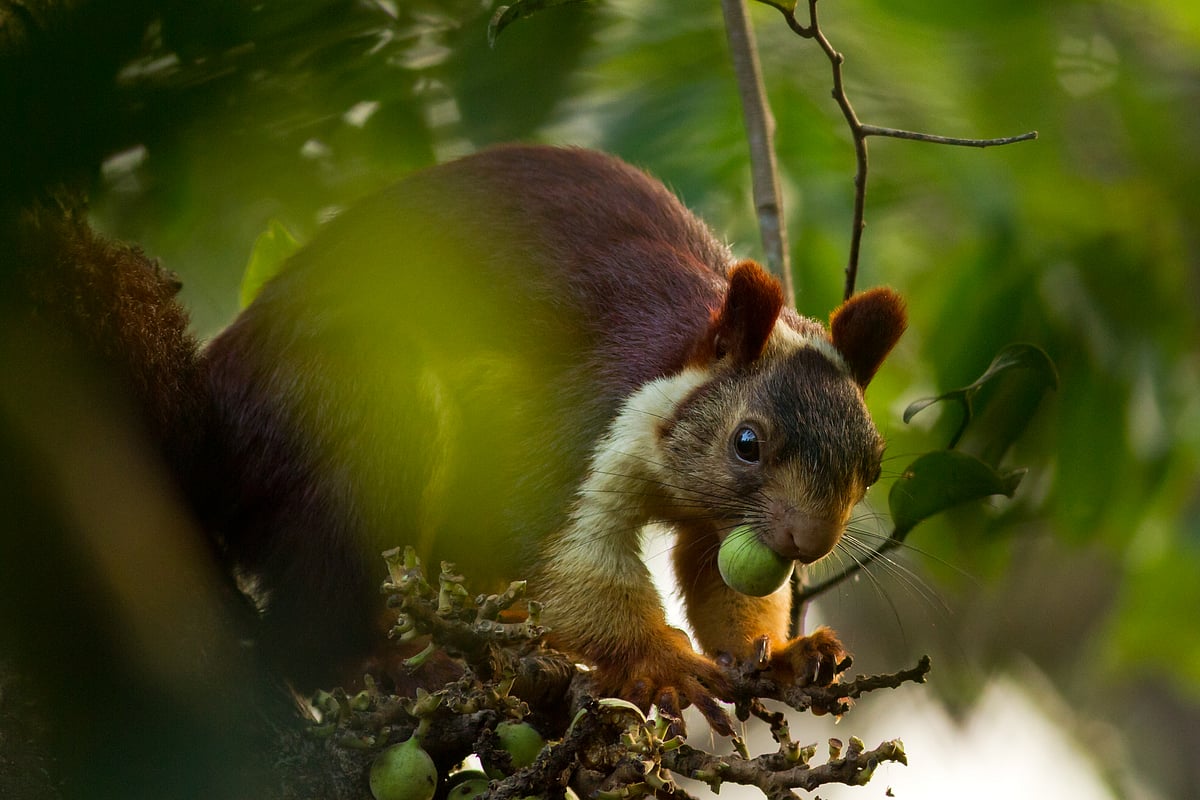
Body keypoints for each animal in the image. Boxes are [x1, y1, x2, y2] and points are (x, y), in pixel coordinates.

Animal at [201, 144, 907, 726]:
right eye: (747, 443)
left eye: (872, 466)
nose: (809, 542)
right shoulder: (581, 422)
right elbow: (565, 558)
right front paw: (665, 665)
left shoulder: (724, 524)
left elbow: (716, 581)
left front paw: (784, 654)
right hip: (365, 411)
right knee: (306, 622)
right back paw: (386, 661)